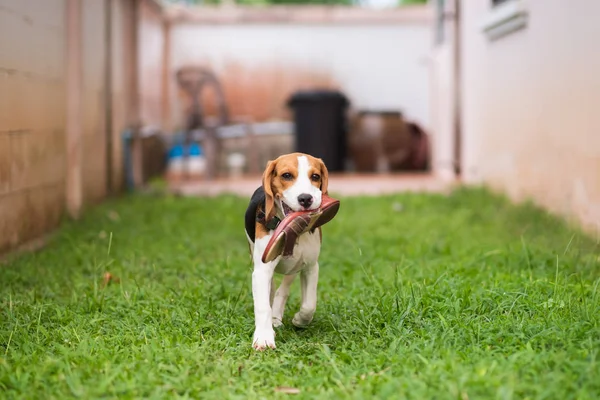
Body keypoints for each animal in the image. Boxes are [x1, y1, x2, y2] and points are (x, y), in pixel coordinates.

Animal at [243, 153, 328, 350]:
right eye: (287, 175)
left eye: (315, 176)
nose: (306, 198)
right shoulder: (262, 271)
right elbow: (262, 306)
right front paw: (264, 338)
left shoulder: (311, 267)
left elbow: (309, 304)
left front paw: (300, 320)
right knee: (272, 291)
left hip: (294, 268)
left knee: (283, 290)